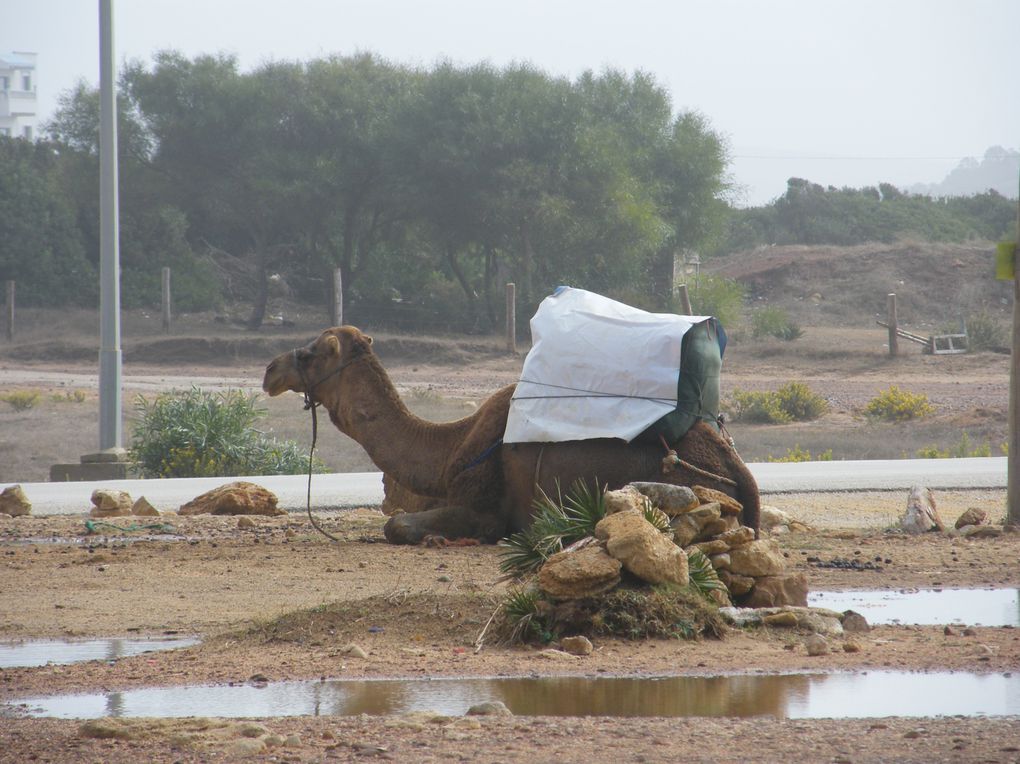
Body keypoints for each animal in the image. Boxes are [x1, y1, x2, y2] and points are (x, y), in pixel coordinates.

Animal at [263, 324, 758, 546]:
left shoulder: (485, 510)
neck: (452, 447)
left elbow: (397, 523)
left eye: (311, 353)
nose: (270, 371)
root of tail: (738, 470)